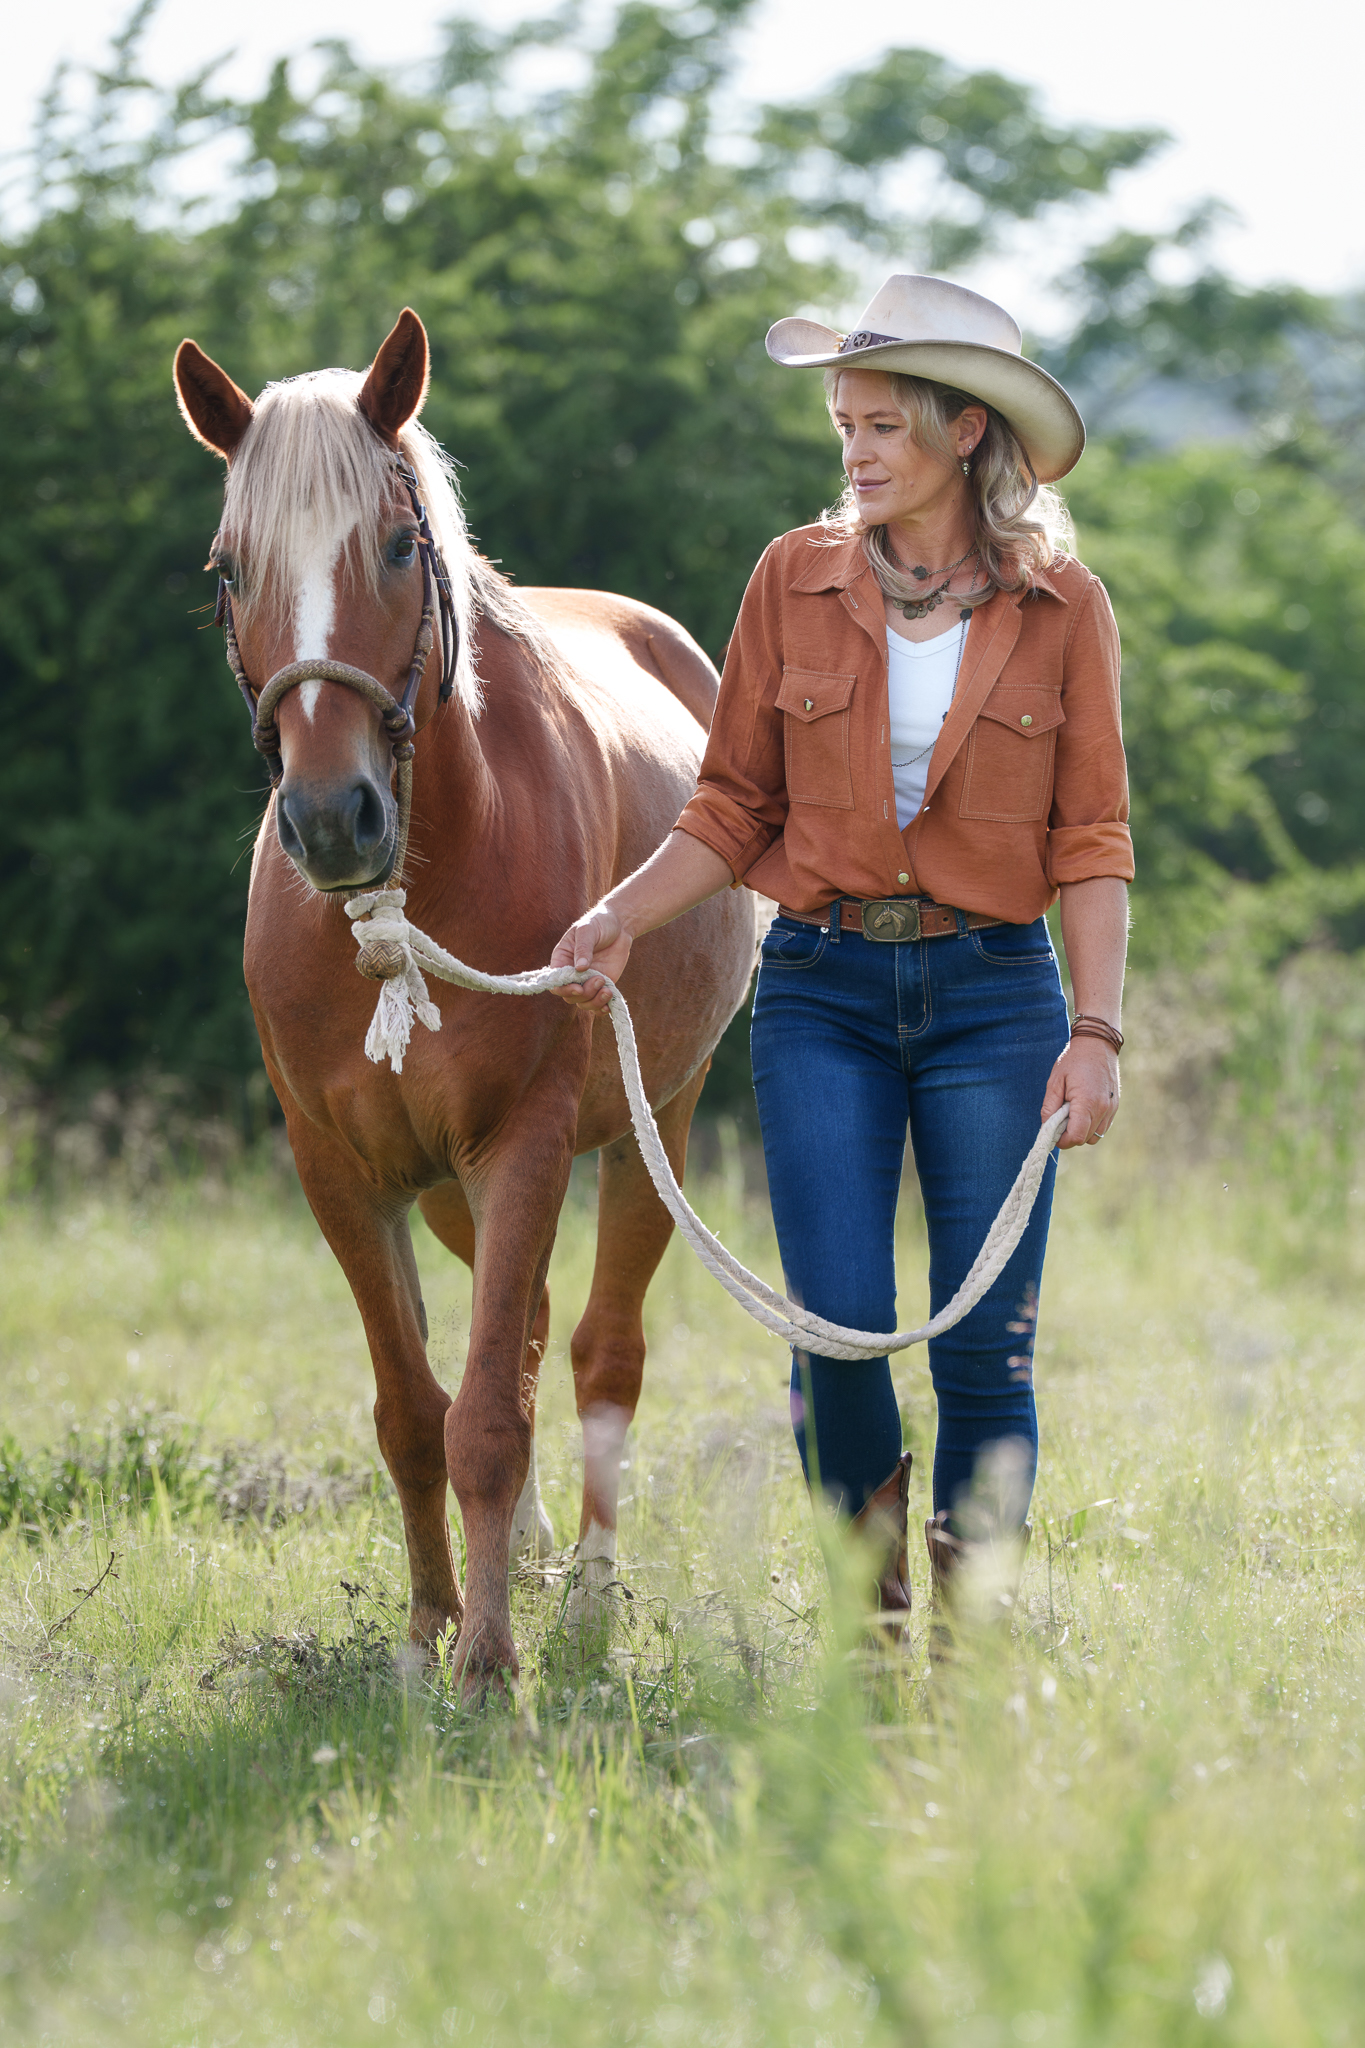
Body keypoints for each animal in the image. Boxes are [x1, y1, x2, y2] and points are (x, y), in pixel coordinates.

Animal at [173, 309, 757, 1691]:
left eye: (398, 542)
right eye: (228, 569)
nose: (332, 818)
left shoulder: (526, 1141)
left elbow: (490, 1412)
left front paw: (491, 1663)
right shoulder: (343, 1170)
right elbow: (412, 1411)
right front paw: (429, 1628)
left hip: (653, 1125)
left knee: (598, 1354)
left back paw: (586, 1597)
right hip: (445, 1188)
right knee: (532, 1329)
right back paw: (535, 1561)